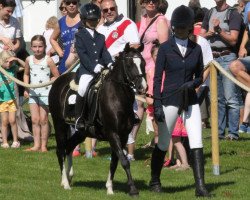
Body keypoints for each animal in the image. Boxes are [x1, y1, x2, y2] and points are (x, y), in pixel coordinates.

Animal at [48, 44, 146, 196]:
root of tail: (58, 80)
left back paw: (69, 177)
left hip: (82, 132)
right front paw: (133, 189)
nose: (143, 87)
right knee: (60, 150)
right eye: (130, 65)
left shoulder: (123, 136)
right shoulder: (113, 134)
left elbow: (115, 161)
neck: (118, 98)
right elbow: (124, 161)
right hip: (59, 126)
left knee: (69, 147)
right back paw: (65, 183)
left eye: (143, 63)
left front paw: (110, 188)